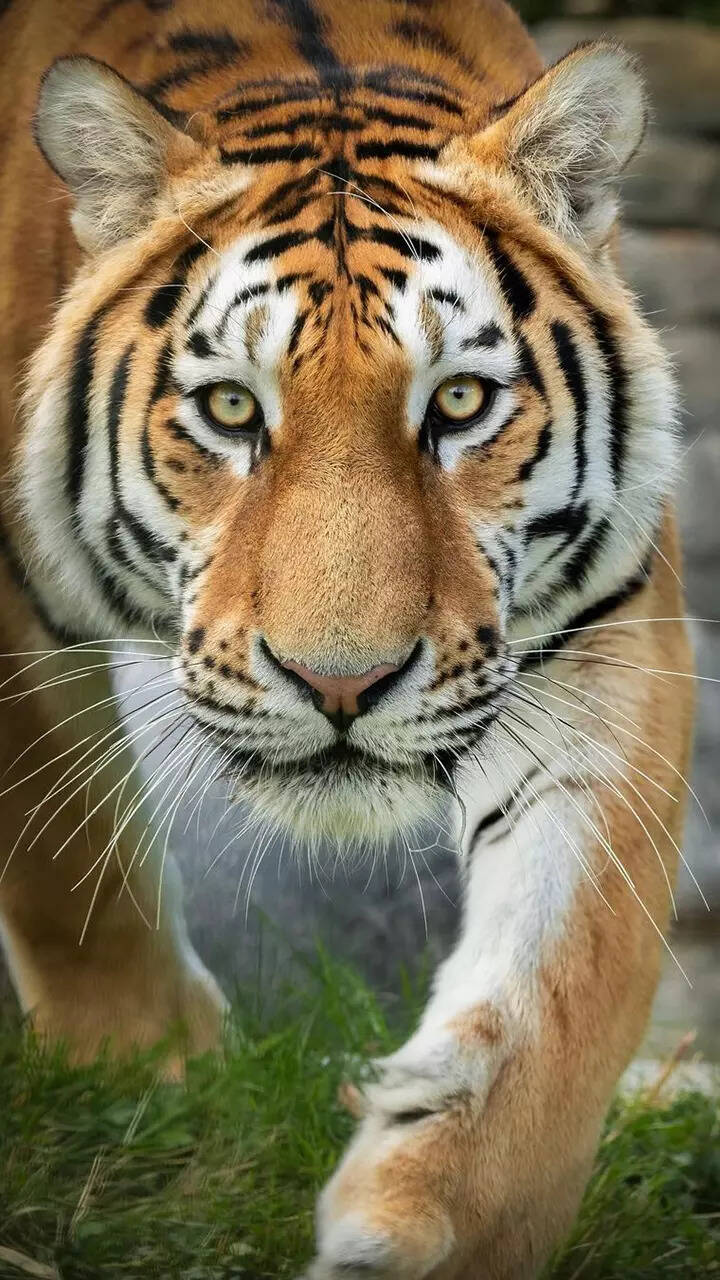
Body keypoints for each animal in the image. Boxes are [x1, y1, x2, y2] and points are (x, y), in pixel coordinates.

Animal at [0, 1, 695, 1276]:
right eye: (230, 408)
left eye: (460, 402)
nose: (342, 683)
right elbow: (63, 852)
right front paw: (144, 1061)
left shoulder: (600, 638)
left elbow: (561, 977)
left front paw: (429, 1224)